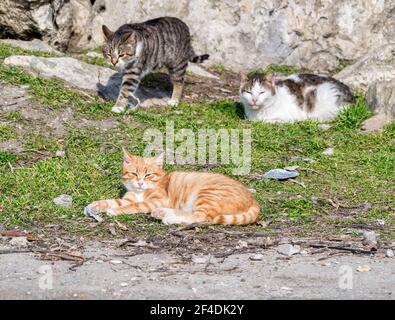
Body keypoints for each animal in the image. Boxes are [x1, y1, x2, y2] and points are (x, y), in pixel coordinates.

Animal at [86, 149, 260, 226]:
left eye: (148, 175)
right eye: (134, 174)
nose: (140, 183)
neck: (140, 191)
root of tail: (253, 199)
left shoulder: (159, 200)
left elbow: (135, 205)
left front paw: (114, 211)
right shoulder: (129, 198)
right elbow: (113, 201)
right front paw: (96, 205)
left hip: (207, 194)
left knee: (201, 217)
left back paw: (167, 218)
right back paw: (161, 214)